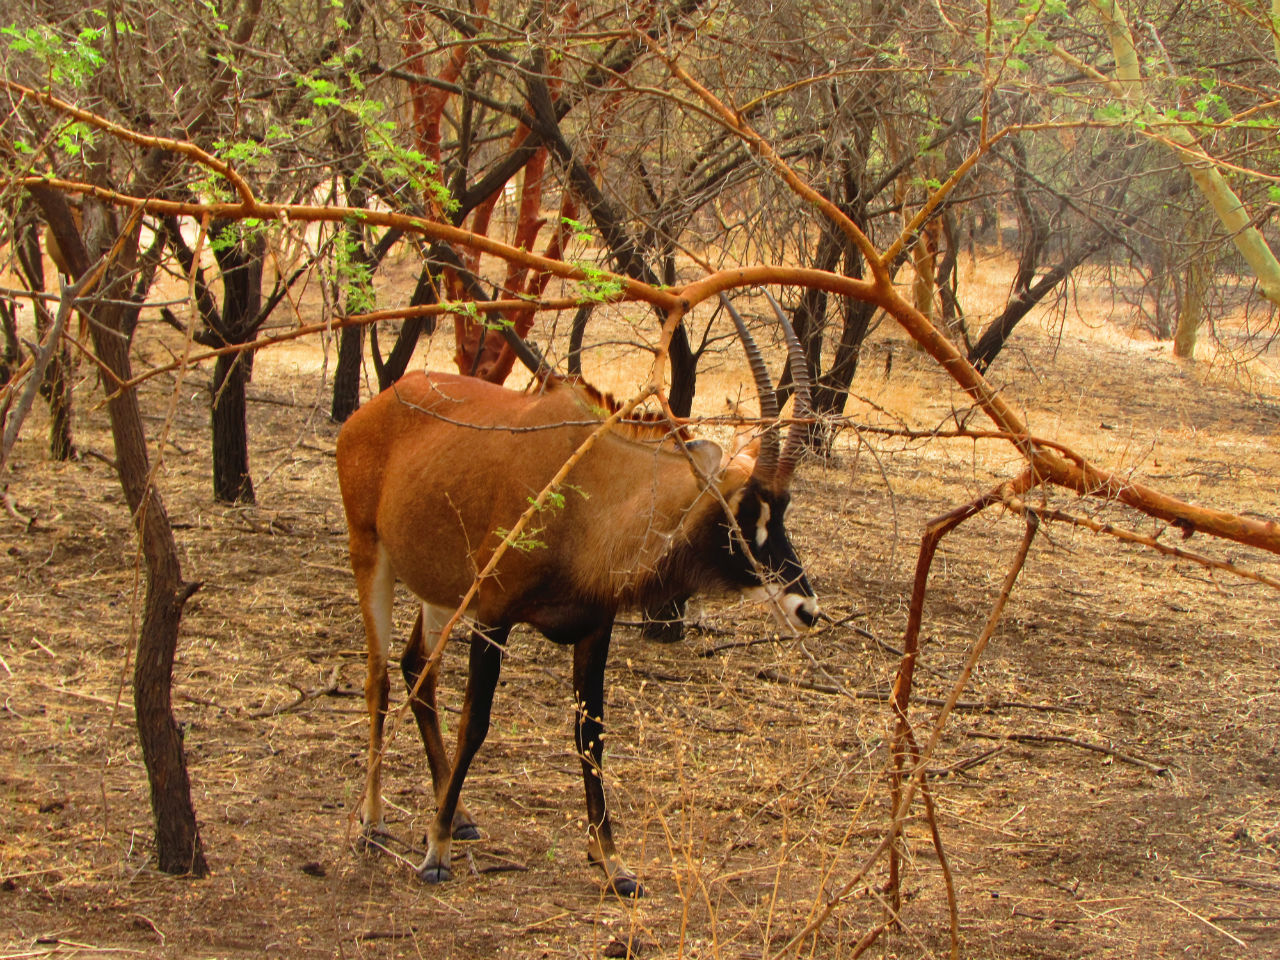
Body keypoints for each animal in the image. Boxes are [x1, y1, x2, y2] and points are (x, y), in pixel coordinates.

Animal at [337, 295, 819, 901]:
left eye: (783, 512)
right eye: (741, 515)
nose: (807, 609)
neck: (591, 494)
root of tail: (372, 410)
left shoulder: (594, 627)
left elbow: (591, 732)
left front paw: (612, 861)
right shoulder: (493, 617)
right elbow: (476, 722)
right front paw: (436, 852)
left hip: (439, 587)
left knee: (415, 671)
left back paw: (459, 814)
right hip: (369, 554)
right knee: (378, 679)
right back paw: (373, 821)